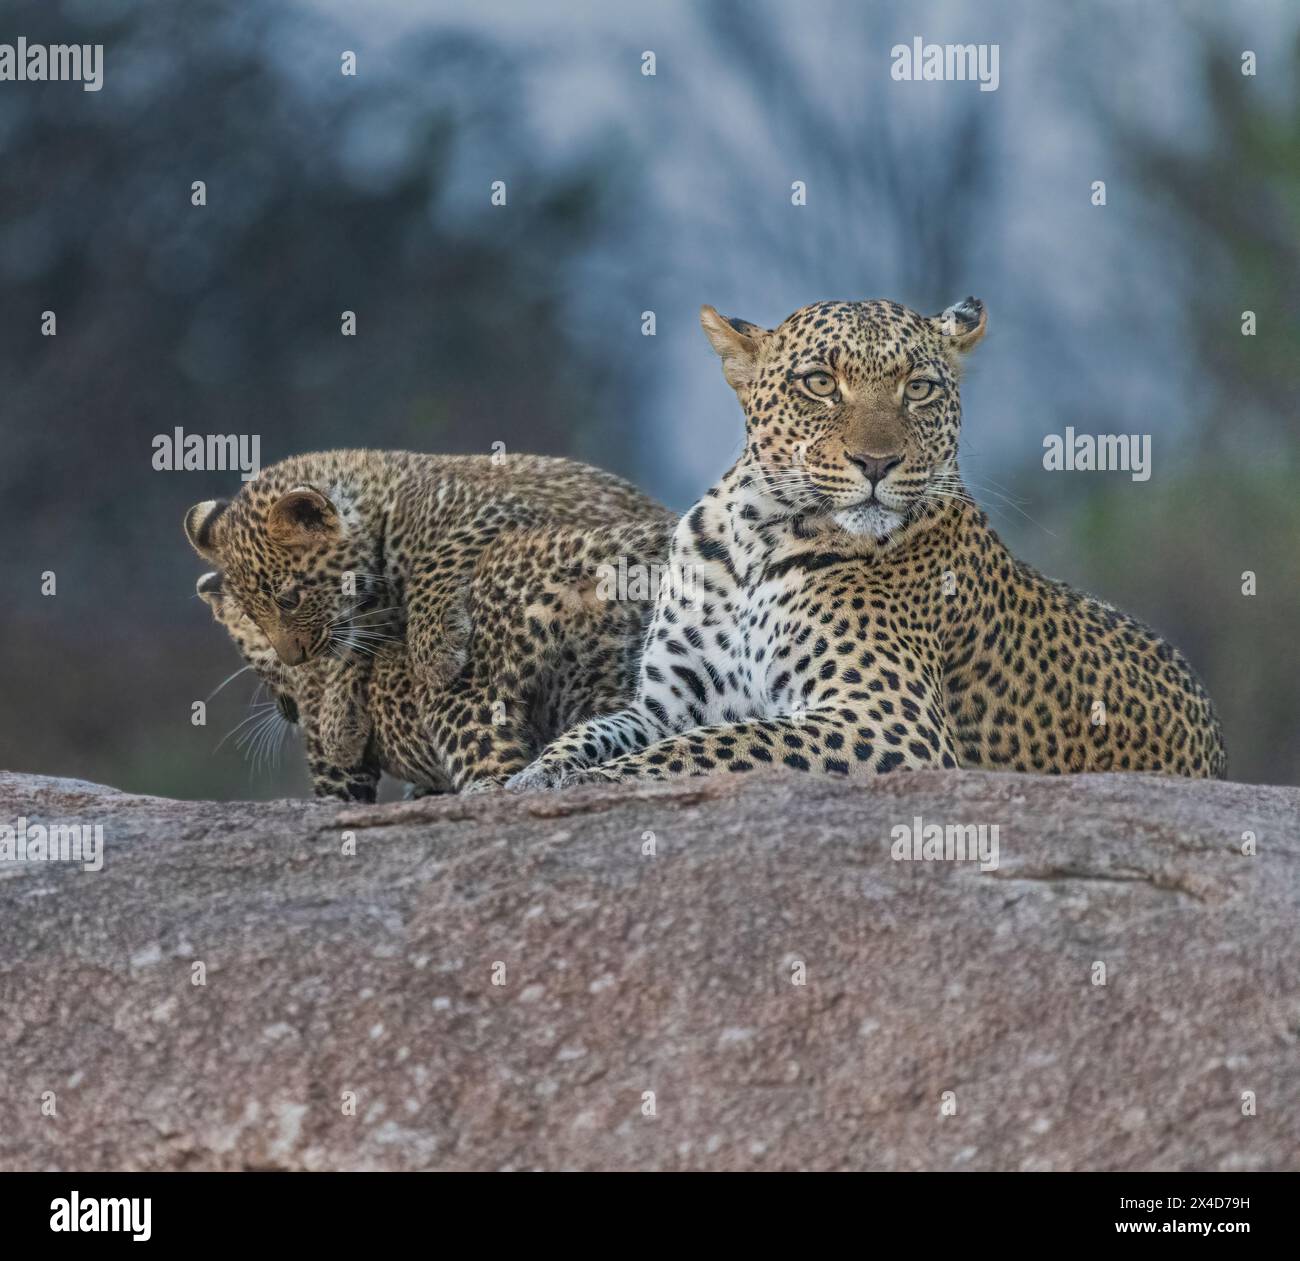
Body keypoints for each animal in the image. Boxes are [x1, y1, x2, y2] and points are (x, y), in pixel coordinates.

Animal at [185, 450, 674, 798]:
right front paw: (340, 717)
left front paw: (433, 649)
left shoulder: (497, 511)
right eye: (254, 617)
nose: (293, 658)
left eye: (289, 599)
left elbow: (438, 560)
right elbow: (350, 647)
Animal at [507, 297, 1225, 789]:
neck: (757, 537)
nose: (876, 463)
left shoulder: (886, 722)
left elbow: (715, 746)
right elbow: (596, 731)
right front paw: (534, 775)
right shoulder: (668, 704)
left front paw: (584, 782)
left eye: (920, 388)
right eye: (820, 383)